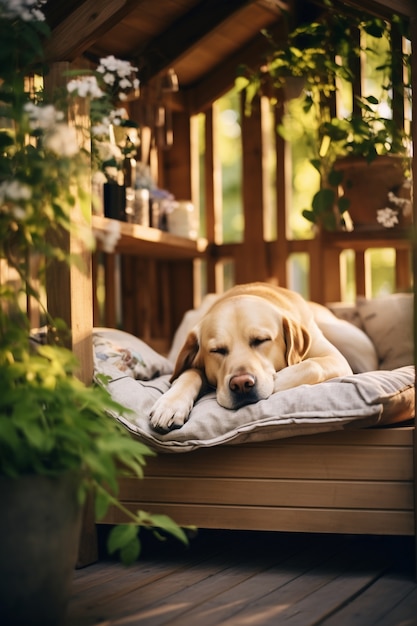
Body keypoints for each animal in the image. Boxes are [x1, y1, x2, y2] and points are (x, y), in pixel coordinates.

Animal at [150, 282, 352, 428]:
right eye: (217, 350)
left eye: (261, 340)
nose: (241, 384)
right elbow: (189, 374)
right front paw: (170, 404)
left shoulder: (336, 359)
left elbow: (312, 365)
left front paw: (277, 381)